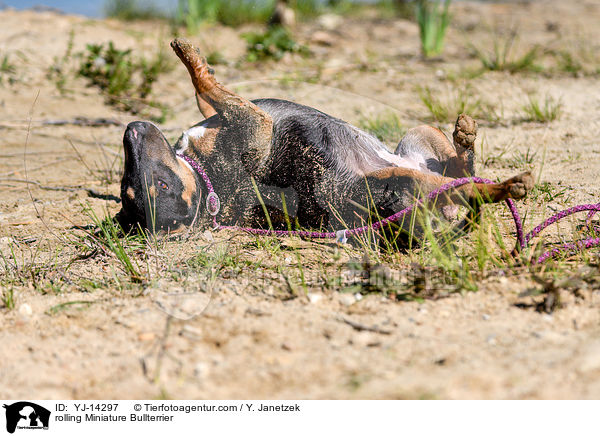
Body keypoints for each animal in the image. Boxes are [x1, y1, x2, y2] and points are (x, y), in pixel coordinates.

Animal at [118, 38, 536, 245]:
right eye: (161, 186)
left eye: (128, 188)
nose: (131, 130)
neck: (206, 180)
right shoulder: (256, 123)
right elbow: (207, 83)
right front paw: (189, 55)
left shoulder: (232, 115)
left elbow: (205, 89)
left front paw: (187, 54)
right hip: (405, 181)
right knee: (472, 188)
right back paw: (509, 184)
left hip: (417, 137)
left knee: (462, 164)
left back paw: (464, 135)